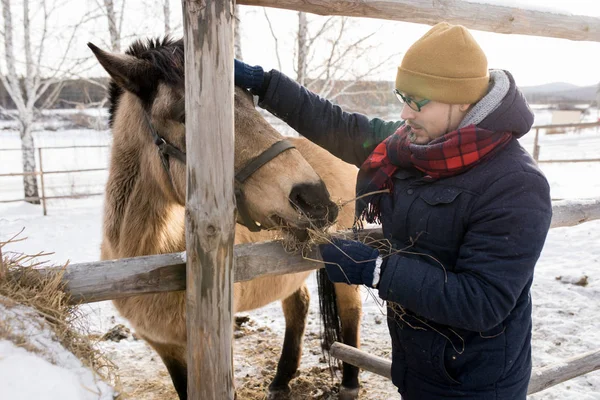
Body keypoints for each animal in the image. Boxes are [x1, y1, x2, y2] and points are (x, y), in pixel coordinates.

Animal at [89, 37, 360, 400]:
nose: (315, 199)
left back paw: (349, 383)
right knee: (298, 306)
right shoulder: (164, 347)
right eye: (186, 117)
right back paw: (280, 381)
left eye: (253, 104)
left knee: (350, 312)